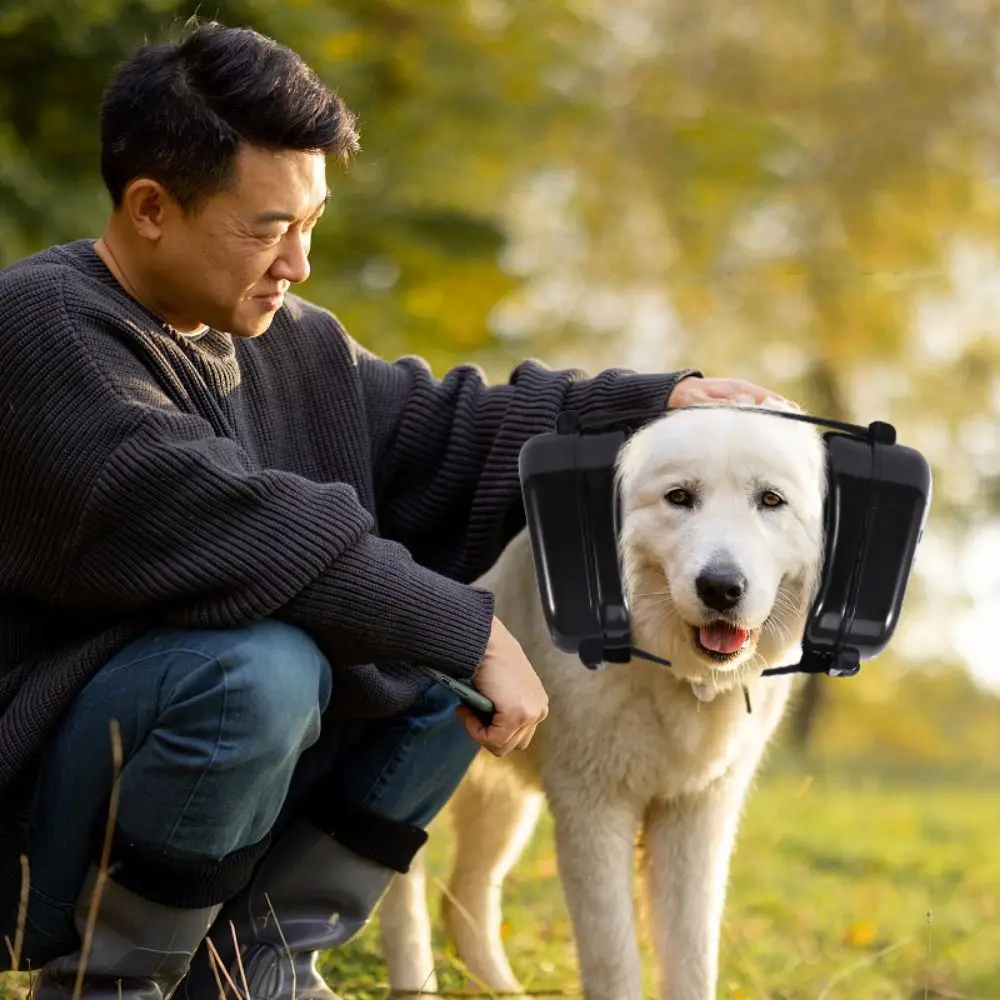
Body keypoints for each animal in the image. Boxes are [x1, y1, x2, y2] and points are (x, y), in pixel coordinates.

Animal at [378, 402, 824, 1000]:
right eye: (680, 497)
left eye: (770, 500)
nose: (721, 588)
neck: (674, 673)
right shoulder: (592, 808)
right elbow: (614, 958)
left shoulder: (696, 815)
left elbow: (692, 958)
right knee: (403, 892)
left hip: (500, 794)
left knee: (466, 892)